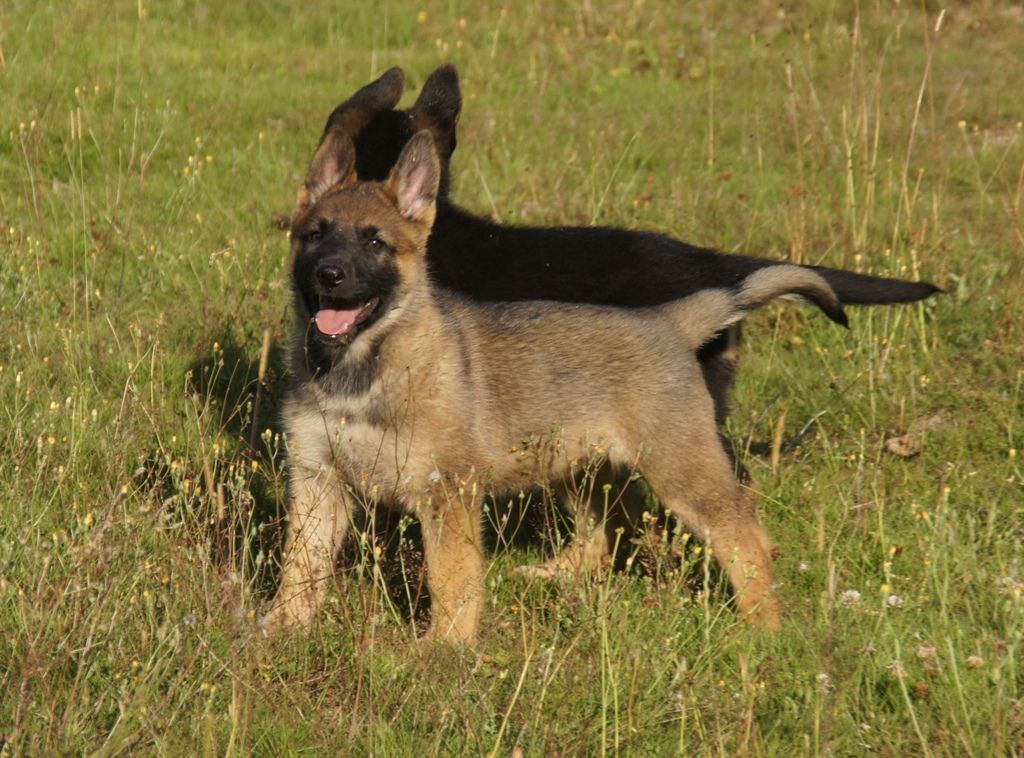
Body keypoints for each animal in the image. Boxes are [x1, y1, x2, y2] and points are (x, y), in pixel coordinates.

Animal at [262, 128, 847, 639]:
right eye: (314, 235)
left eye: (375, 242)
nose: (330, 274)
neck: (361, 371)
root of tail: (669, 321)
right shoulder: (317, 479)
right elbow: (300, 568)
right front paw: (280, 632)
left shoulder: (446, 491)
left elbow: (452, 581)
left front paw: (444, 648)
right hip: (581, 467)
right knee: (609, 531)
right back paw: (550, 576)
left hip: (682, 471)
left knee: (744, 537)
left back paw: (762, 630)